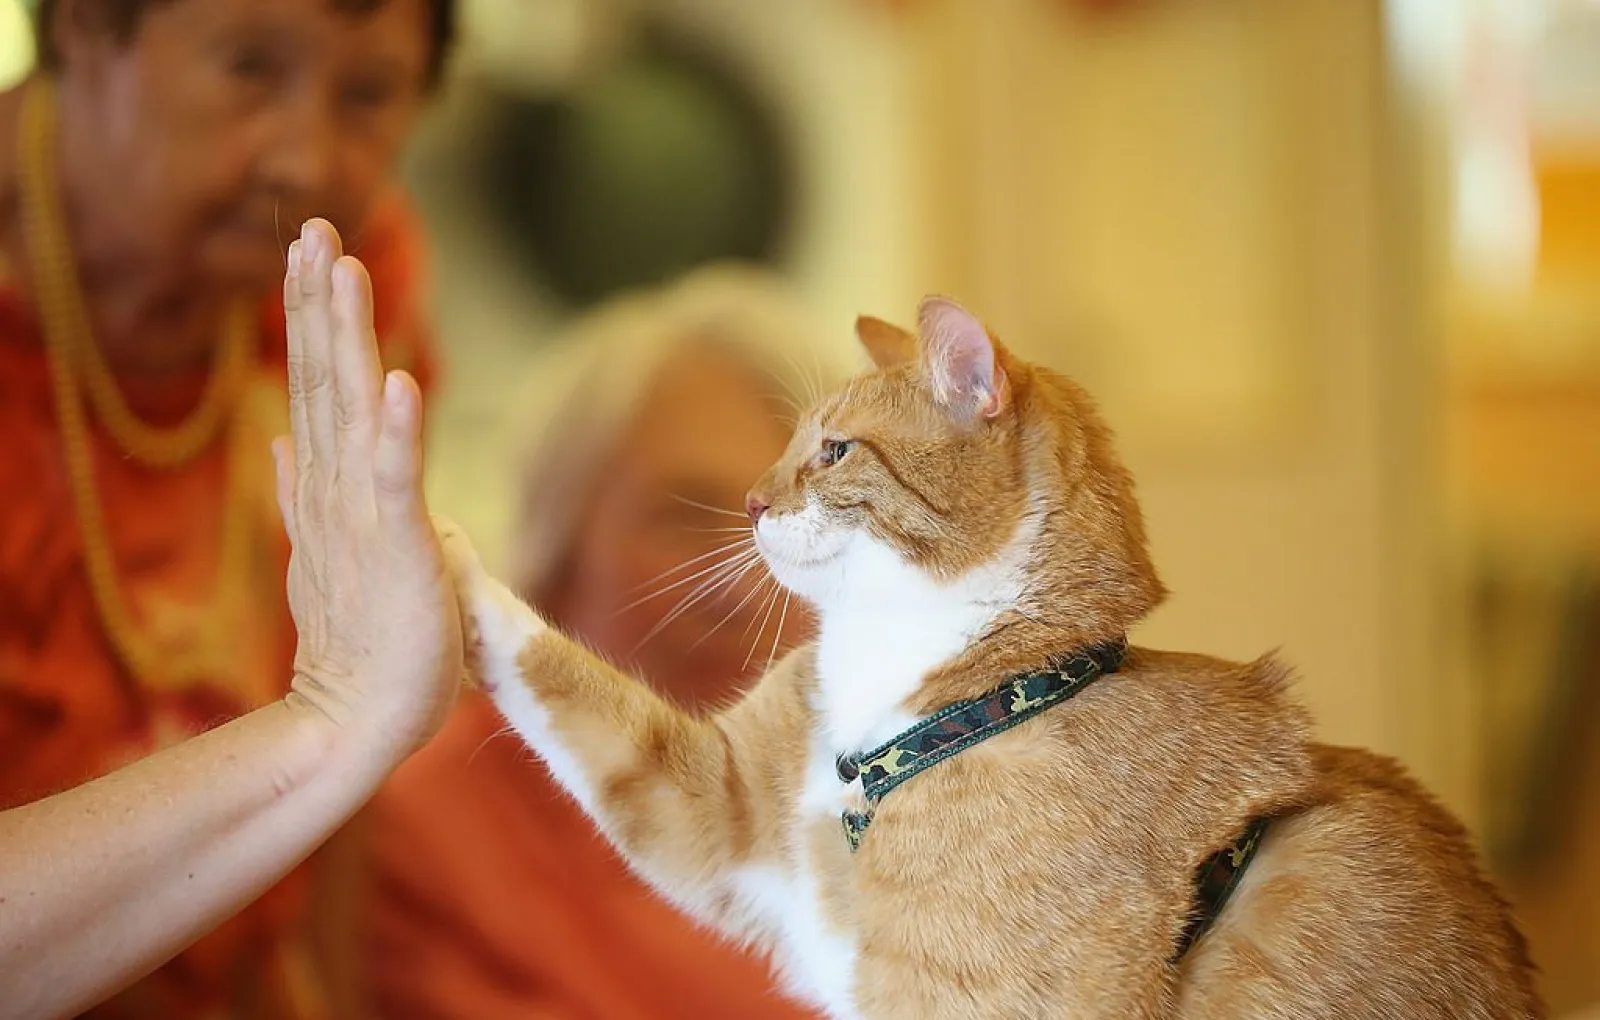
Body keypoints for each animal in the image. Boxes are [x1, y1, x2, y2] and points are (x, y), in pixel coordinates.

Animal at [435, 297, 1536, 1020]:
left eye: (831, 452)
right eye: (790, 446)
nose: (748, 502)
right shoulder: (716, 803)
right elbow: (571, 688)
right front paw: (432, 533)